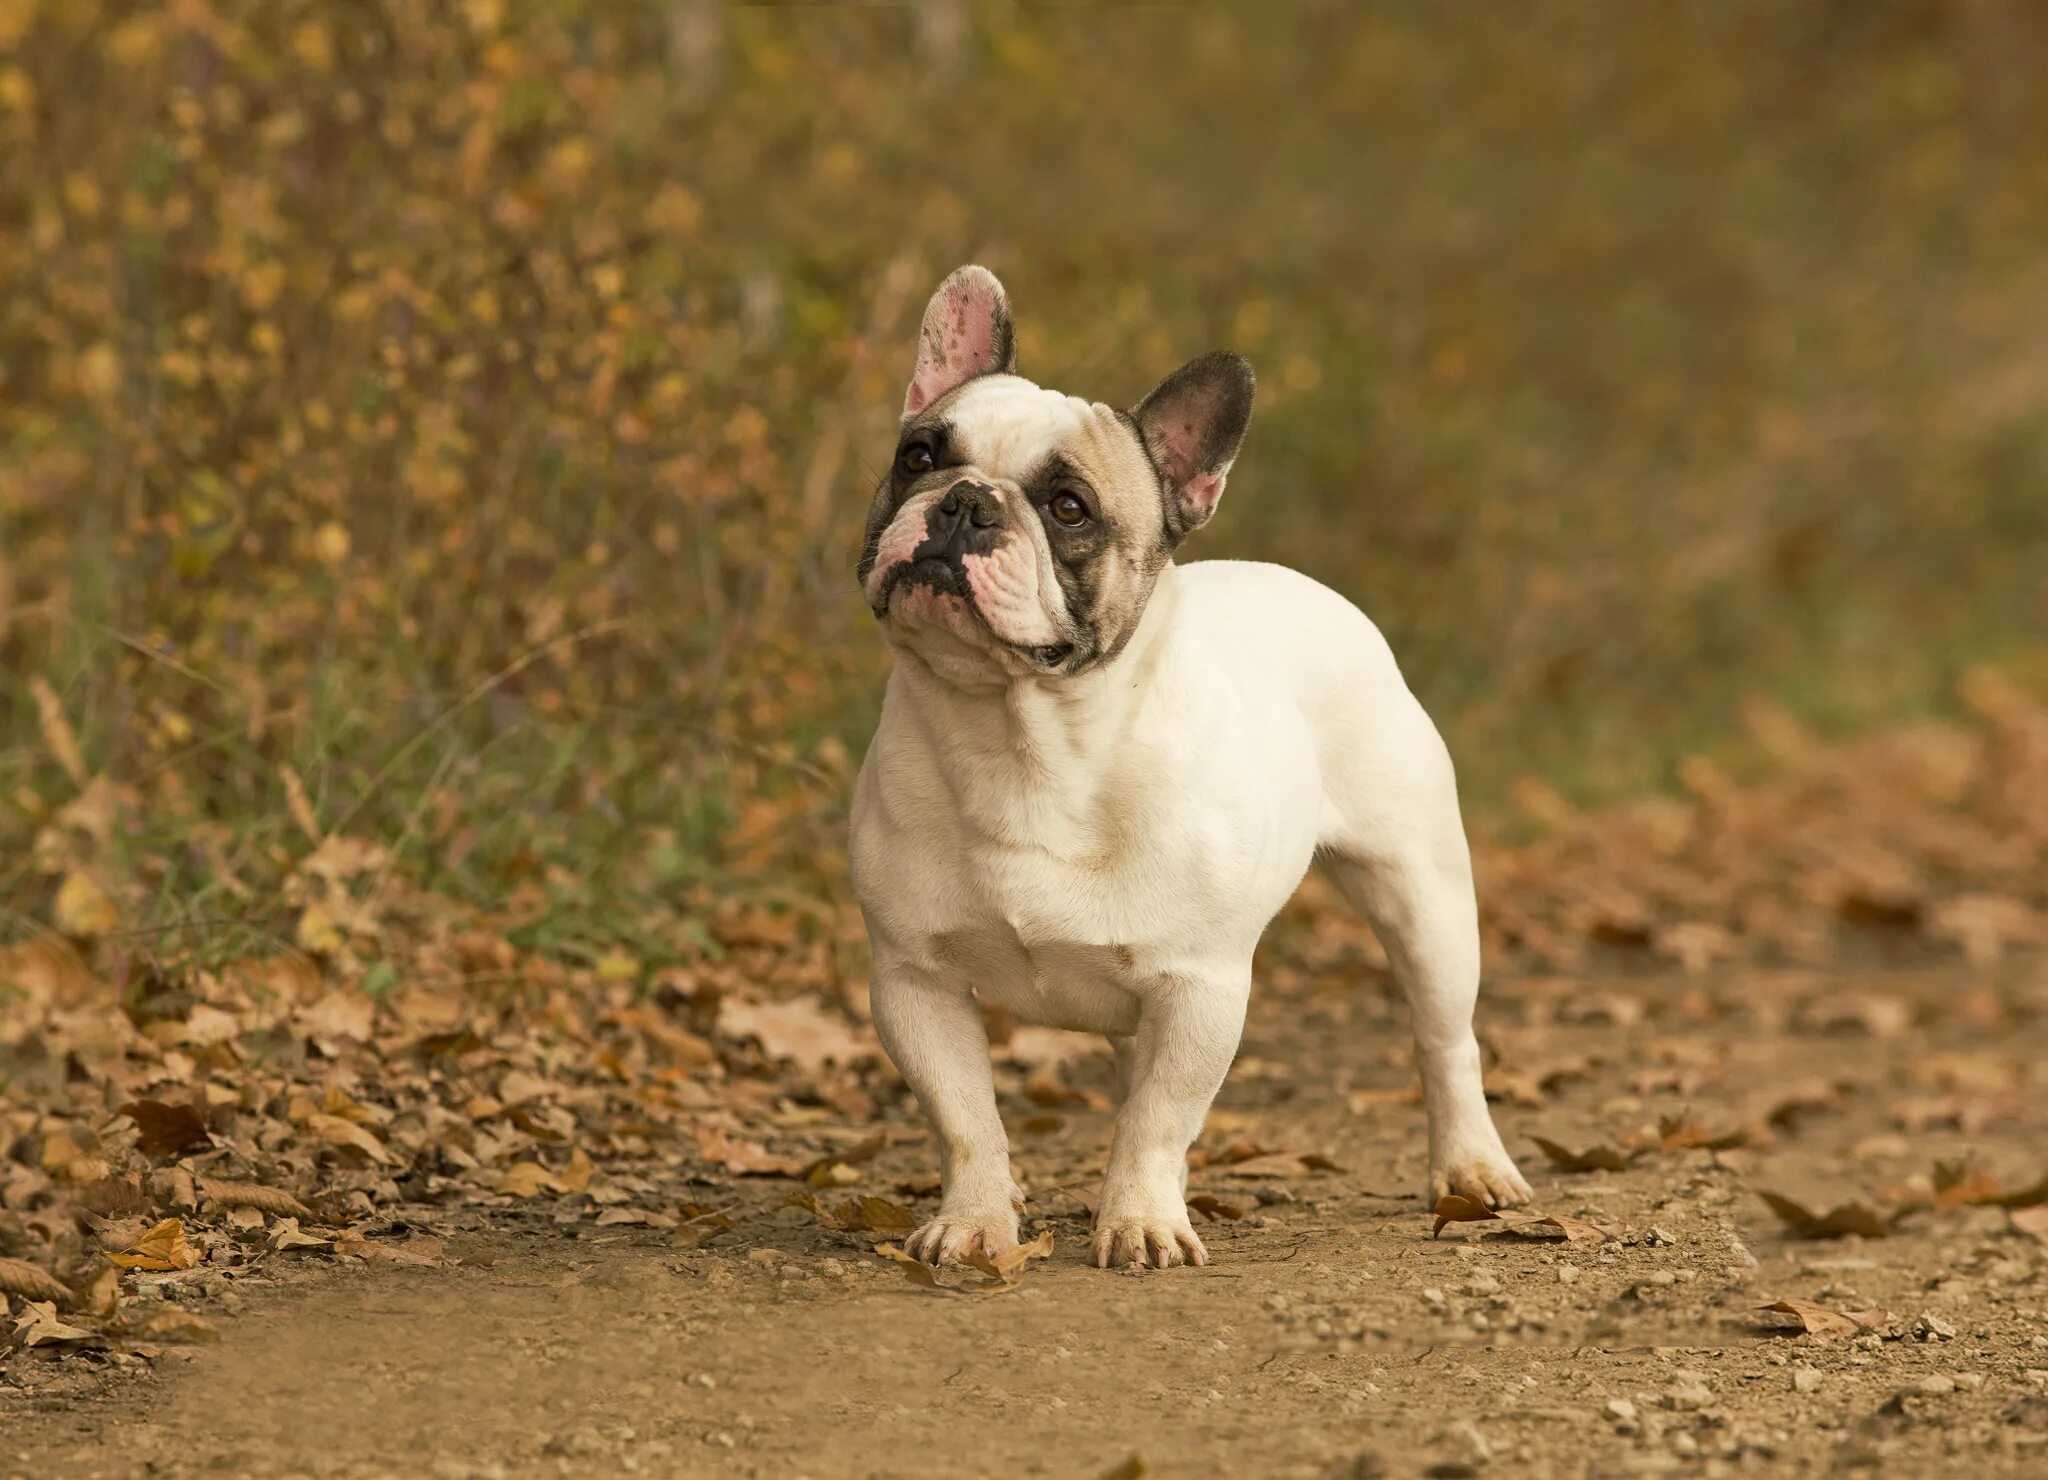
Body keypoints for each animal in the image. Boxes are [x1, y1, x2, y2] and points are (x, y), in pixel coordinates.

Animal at [839, 270, 1531, 1277]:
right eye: (918, 454)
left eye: (1070, 509)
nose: (966, 501)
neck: (1022, 737)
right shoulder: (913, 979)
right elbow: (966, 1119)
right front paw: (976, 1221)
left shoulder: (1199, 985)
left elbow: (1159, 1120)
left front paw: (1139, 1221)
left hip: (1424, 894)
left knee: (1445, 1041)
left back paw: (1473, 1168)